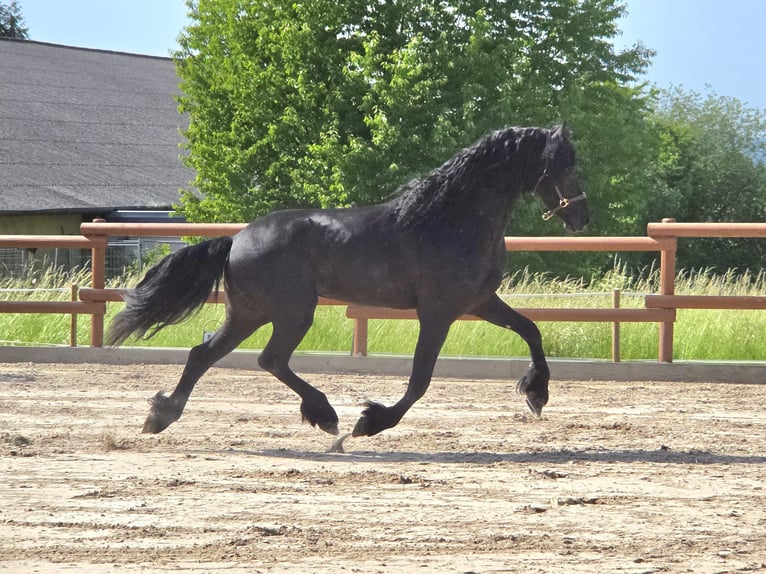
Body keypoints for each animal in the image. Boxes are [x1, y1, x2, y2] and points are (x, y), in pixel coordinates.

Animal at [108, 125, 589, 439]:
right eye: (563, 165)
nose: (582, 217)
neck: (451, 220)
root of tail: (238, 238)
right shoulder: (438, 313)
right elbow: (420, 379)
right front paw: (371, 422)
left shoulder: (479, 301)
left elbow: (531, 329)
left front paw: (537, 393)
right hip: (292, 312)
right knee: (269, 359)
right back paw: (326, 415)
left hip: (249, 312)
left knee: (204, 354)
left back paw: (161, 416)